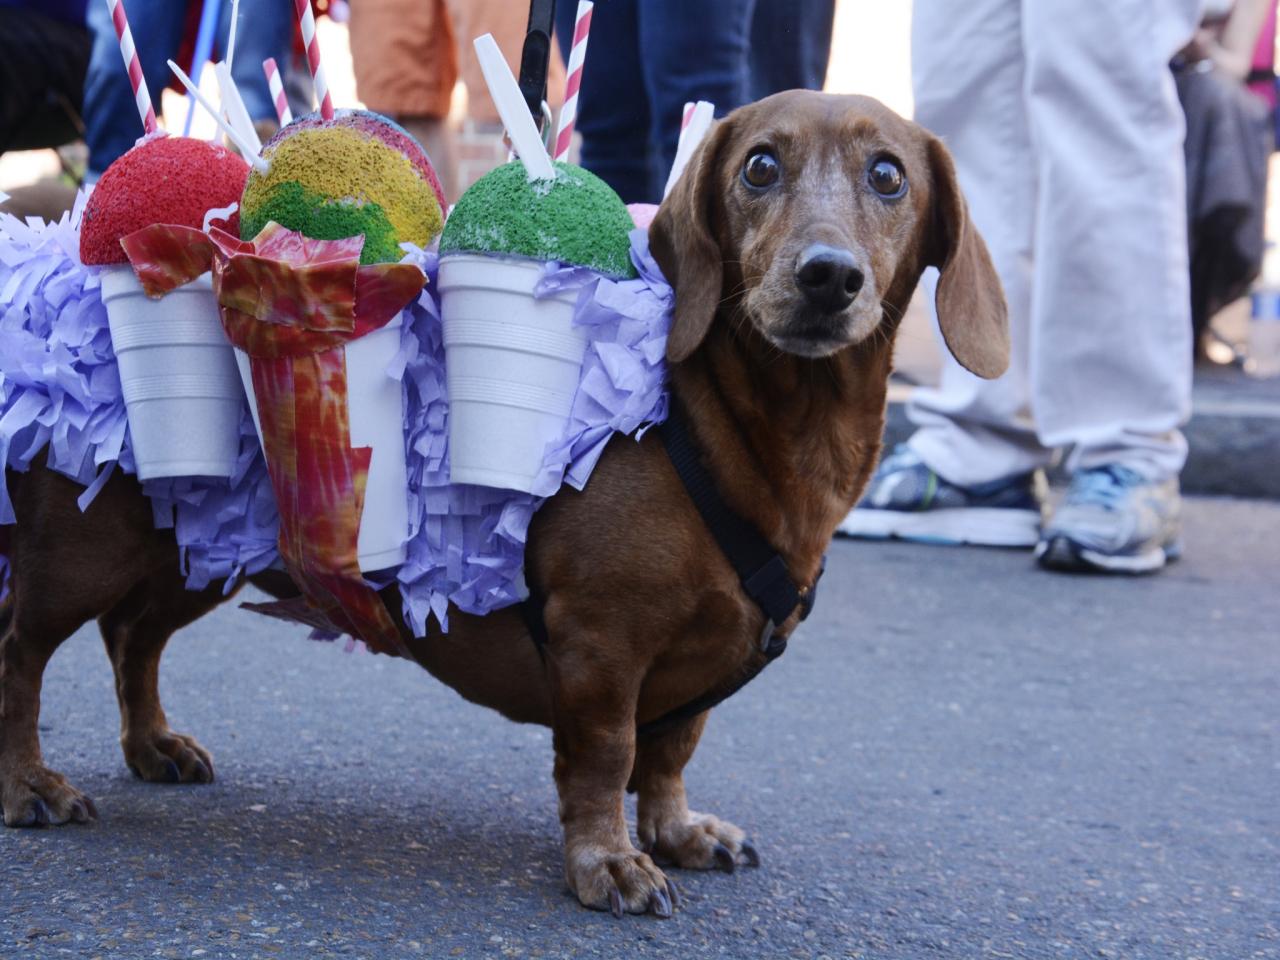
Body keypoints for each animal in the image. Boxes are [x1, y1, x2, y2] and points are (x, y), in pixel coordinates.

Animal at [0, 90, 1003, 916]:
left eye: (888, 175)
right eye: (759, 165)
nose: (827, 276)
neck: (741, 430)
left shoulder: (692, 671)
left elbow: (671, 750)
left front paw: (676, 831)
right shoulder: (600, 643)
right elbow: (607, 757)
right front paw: (607, 862)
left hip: (197, 548)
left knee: (133, 638)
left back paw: (153, 745)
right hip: (86, 552)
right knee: (22, 652)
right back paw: (27, 785)